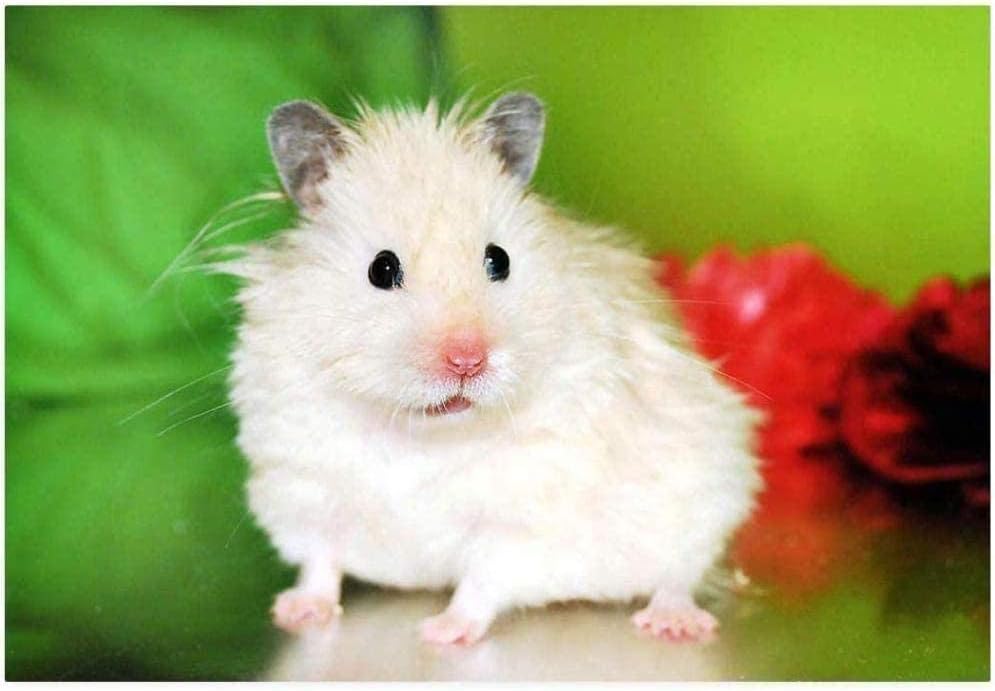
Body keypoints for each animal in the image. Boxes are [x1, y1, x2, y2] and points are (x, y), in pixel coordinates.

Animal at [224, 92, 762, 646]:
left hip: (708, 495)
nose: (468, 360)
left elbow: (483, 580)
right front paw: (295, 611)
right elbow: (319, 560)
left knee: (682, 573)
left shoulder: (521, 519)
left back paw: (672, 623)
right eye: (382, 268)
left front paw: (440, 633)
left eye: (498, 260)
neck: (423, 436)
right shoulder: (302, 487)